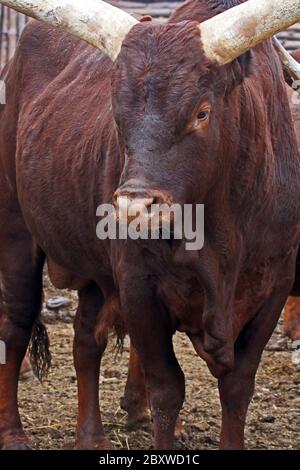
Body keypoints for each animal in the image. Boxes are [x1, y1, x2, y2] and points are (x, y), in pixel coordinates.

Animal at [0, 0, 300, 452]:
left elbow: (237, 385)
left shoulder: (276, 285)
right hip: (16, 233)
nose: (134, 207)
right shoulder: (137, 284)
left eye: (201, 113)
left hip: (95, 269)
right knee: (16, 325)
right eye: (116, 116)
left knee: (87, 340)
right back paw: (13, 432)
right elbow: (167, 389)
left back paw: (92, 437)